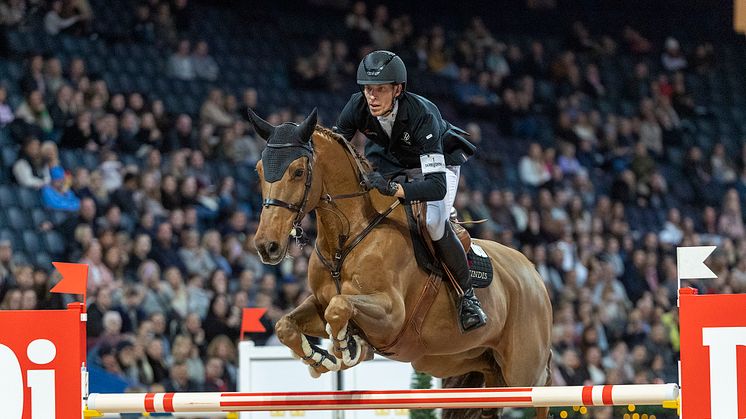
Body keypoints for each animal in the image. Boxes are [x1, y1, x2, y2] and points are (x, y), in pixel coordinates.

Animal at [250, 109, 552, 419]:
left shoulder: (392, 316)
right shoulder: (319, 304)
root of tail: (533, 272)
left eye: (298, 172)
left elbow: (341, 306)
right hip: (458, 361)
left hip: (524, 371)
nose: (267, 246)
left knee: (541, 391)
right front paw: (320, 358)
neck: (346, 238)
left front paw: (347, 347)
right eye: (259, 171)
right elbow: (286, 325)